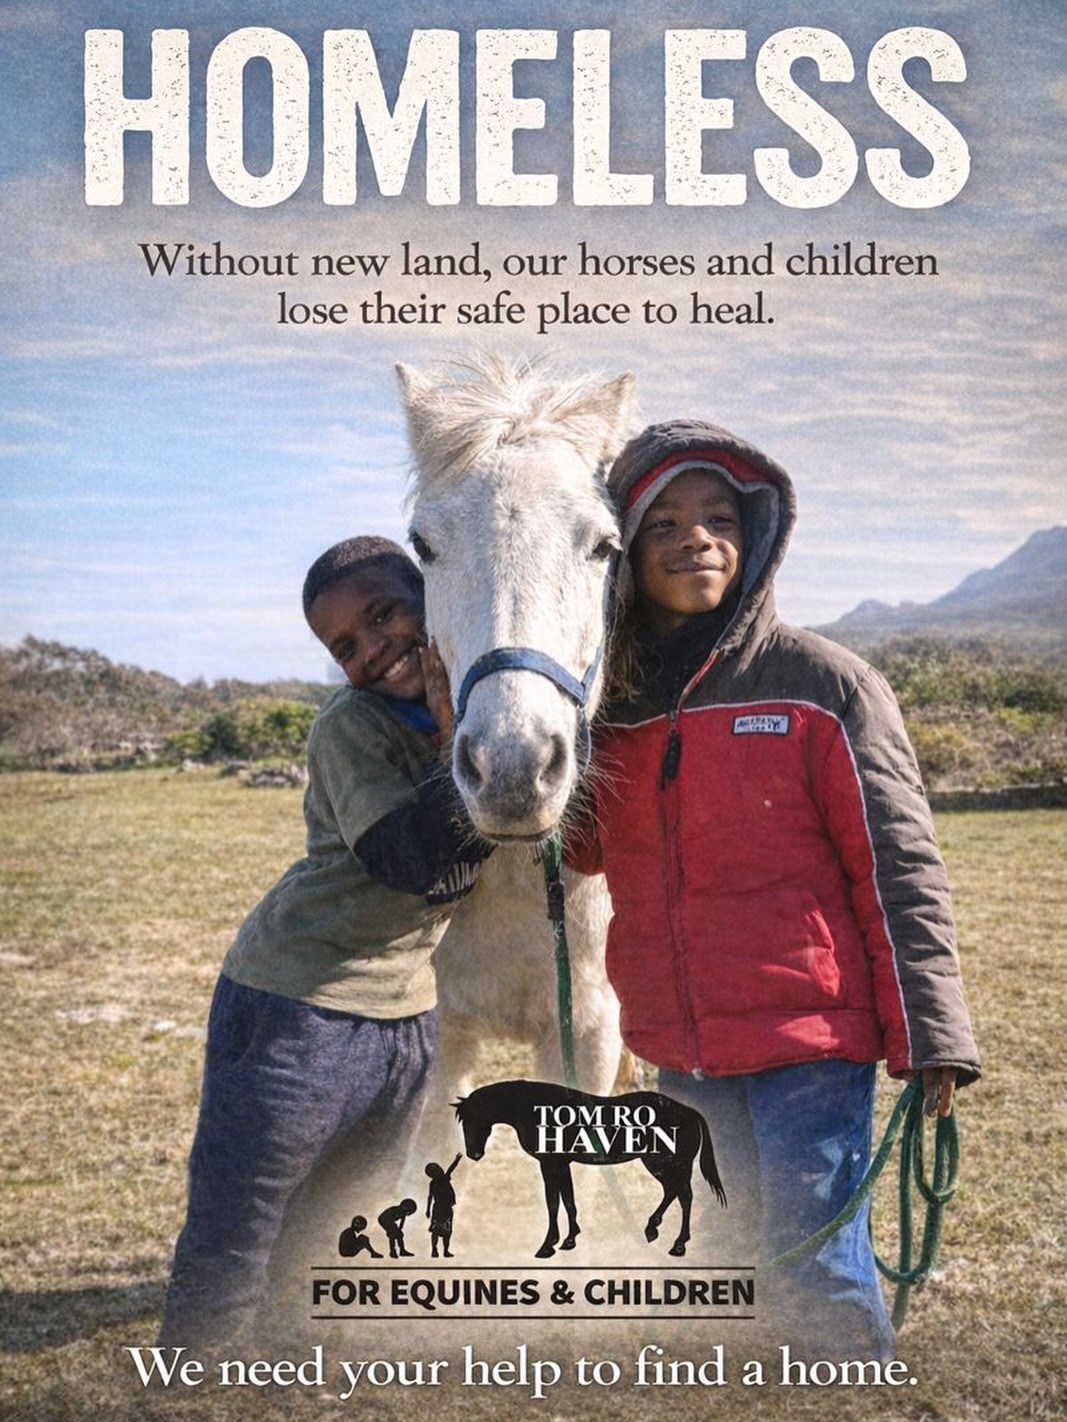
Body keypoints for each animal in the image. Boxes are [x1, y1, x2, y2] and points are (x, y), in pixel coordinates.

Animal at [454, 1080, 727, 1260]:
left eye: (474, 1118)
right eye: (464, 1121)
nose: (474, 1154)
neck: (534, 1108)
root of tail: (689, 1112)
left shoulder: (550, 1164)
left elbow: (554, 1202)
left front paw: (548, 1245)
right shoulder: (560, 1164)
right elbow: (567, 1200)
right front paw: (569, 1239)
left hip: (669, 1165)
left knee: (684, 1196)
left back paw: (678, 1244)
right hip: (661, 1165)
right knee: (673, 1193)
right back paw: (652, 1229)